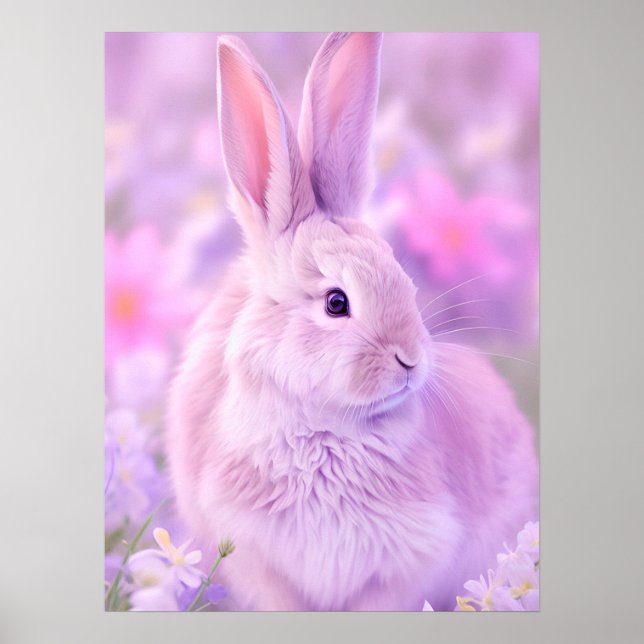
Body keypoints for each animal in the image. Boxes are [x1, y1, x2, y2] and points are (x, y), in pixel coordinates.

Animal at [166, 32, 538, 611]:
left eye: (403, 278)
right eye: (336, 303)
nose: (410, 359)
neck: (324, 427)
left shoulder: (402, 568)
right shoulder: (259, 562)